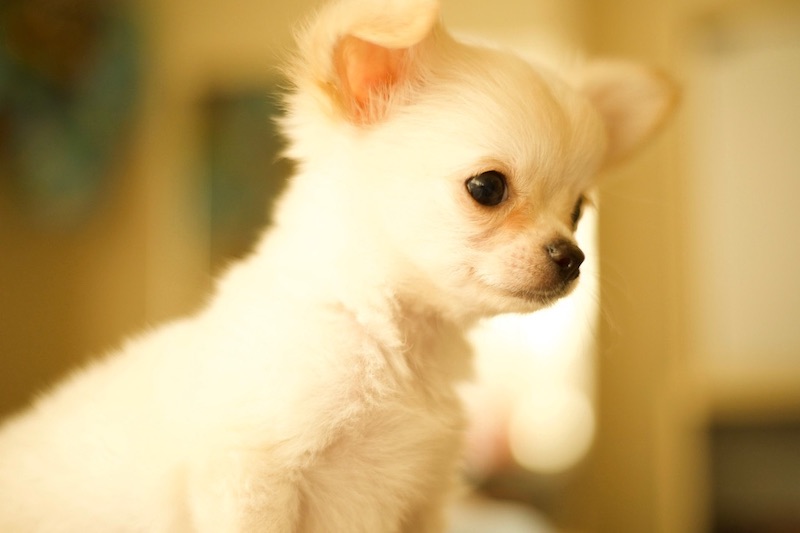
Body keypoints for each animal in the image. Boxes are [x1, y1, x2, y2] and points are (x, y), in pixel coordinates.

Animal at [0, 0, 676, 528]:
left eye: (579, 212)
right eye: (487, 187)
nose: (573, 257)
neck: (388, 337)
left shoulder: (422, 497)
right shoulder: (249, 479)